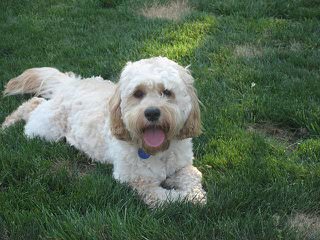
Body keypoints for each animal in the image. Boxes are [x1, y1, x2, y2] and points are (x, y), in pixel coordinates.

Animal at [1, 56, 206, 206]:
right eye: (138, 93)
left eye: (167, 92)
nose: (152, 112)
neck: (156, 151)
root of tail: (71, 83)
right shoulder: (137, 180)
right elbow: (168, 199)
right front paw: (186, 198)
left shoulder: (183, 166)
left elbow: (194, 178)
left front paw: (195, 195)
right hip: (46, 129)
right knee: (31, 105)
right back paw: (6, 125)